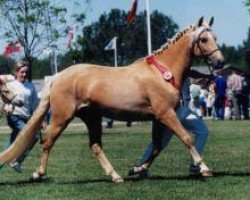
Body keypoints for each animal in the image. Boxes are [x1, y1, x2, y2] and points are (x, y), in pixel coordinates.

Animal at [0, 17, 225, 183]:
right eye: (204, 40)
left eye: (215, 37)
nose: (220, 62)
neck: (162, 72)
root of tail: (57, 76)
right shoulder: (166, 114)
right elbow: (187, 138)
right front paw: (204, 168)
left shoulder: (158, 118)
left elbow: (156, 146)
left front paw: (137, 168)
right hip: (61, 117)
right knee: (47, 141)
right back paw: (37, 173)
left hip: (92, 118)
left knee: (95, 146)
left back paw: (115, 176)